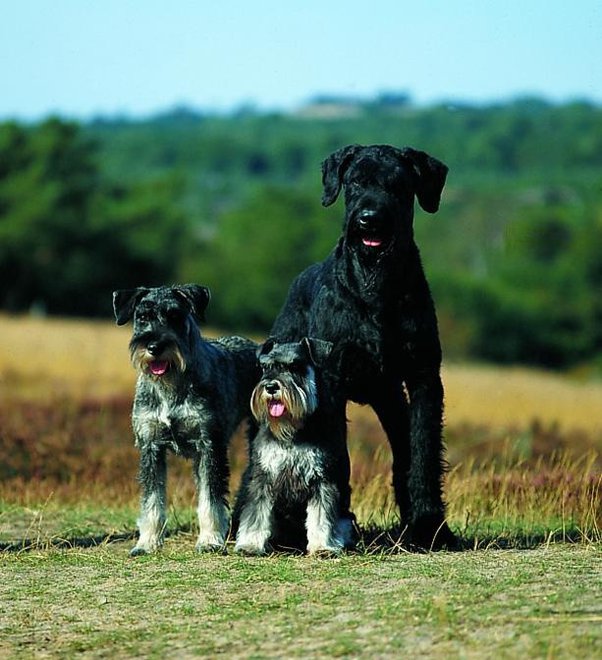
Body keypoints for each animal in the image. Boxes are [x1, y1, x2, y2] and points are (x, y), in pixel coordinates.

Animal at [112, 286, 255, 556]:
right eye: (143, 316)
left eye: (175, 316)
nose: (154, 346)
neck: (171, 386)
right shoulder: (151, 448)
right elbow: (152, 501)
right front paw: (146, 543)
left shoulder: (210, 446)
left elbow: (211, 499)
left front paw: (210, 540)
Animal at [231, 338, 352, 556]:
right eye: (265, 367)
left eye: (295, 366)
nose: (271, 387)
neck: (293, 429)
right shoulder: (263, 476)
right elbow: (255, 514)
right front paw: (250, 545)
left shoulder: (323, 478)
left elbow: (321, 516)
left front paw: (323, 546)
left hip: (346, 516)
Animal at [270, 146, 454, 552]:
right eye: (355, 180)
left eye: (399, 183)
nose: (369, 220)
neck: (376, 288)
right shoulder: (332, 382)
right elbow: (337, 459)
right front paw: (333, 524)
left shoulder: (423, 378)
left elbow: (423, 452)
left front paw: (430, 526)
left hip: (390, 398)